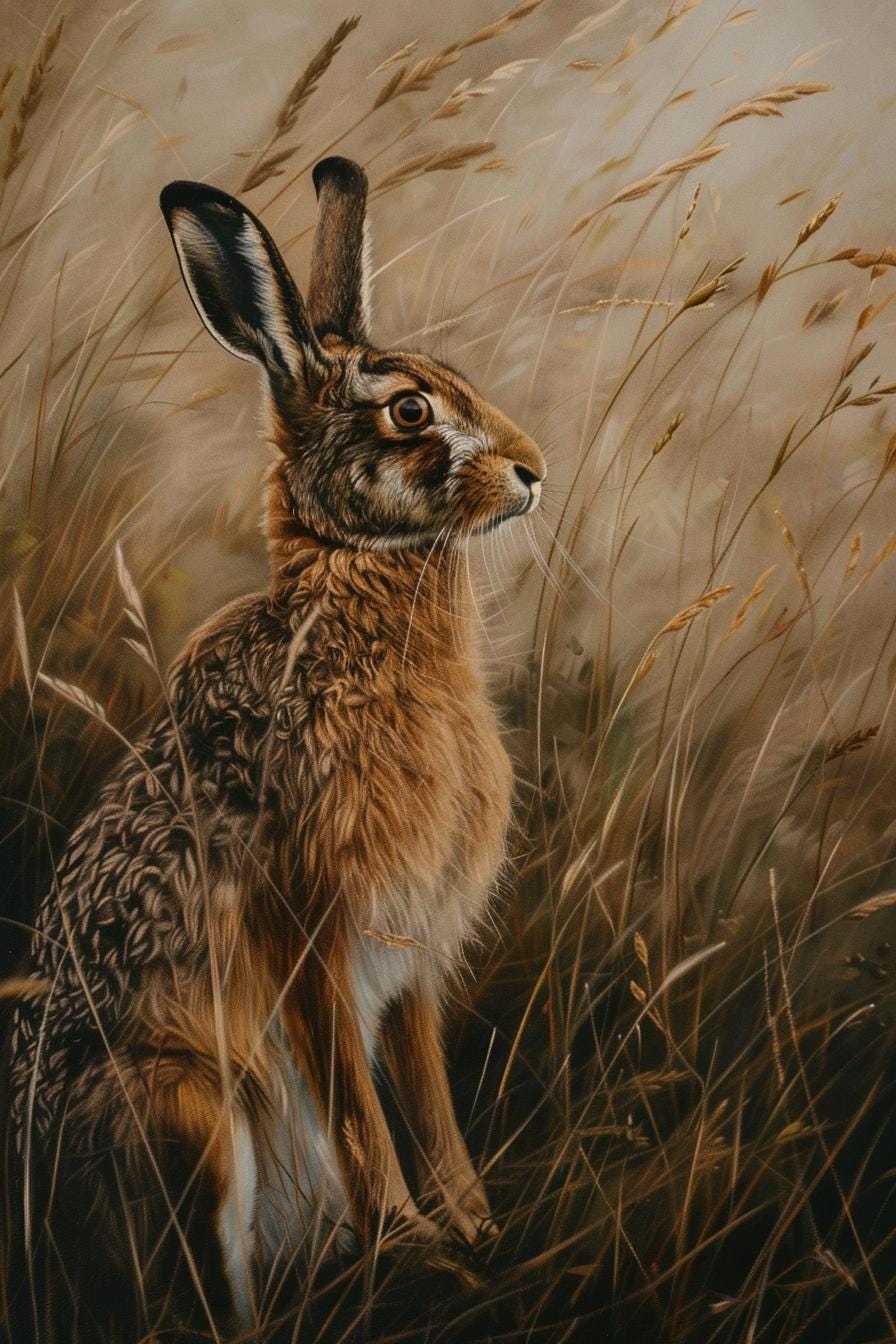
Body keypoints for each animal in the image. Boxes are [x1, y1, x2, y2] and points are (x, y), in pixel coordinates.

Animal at [6, 156, 545, 1340]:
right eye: (409, 410)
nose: (535, 470)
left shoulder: (410, 956)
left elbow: (426, 1098)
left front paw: (476, 1228)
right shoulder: (308, 925)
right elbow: (357, 1108)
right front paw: (416, 1245)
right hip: (183, 1110)